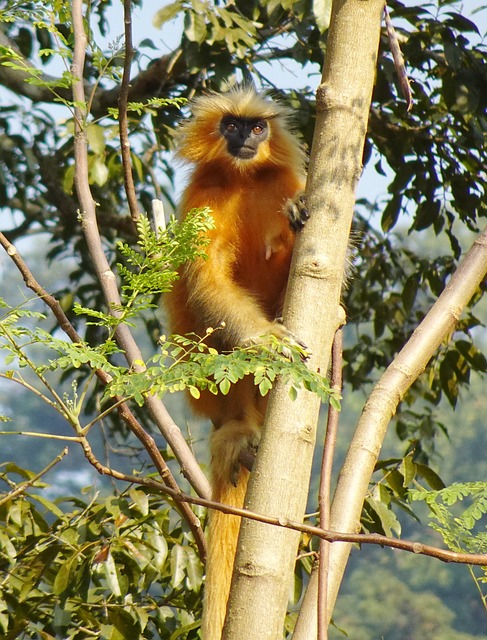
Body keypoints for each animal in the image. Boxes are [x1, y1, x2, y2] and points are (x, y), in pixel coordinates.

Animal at [166, 86, 306, 640]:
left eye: (258, 127)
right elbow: (205, 279)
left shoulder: (285, 183)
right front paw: (269, 340)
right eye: (231, 125)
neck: (245, 178)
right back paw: (240, 431)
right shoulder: (204, 194)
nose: (245, 137)